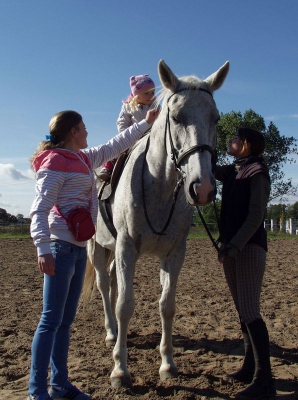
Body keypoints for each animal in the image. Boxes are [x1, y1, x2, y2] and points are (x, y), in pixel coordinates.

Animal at [85, 59, 229, 388]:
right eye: (175, 117)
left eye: (215, 118)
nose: (203, 188)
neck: (160, 187)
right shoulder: (126, 248)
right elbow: (125, 306)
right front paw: (120, 370)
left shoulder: (174, 253)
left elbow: (167, 305)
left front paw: (167, 364)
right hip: (97, 247)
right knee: (104, 285)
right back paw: (111, 333)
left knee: (112, 282)